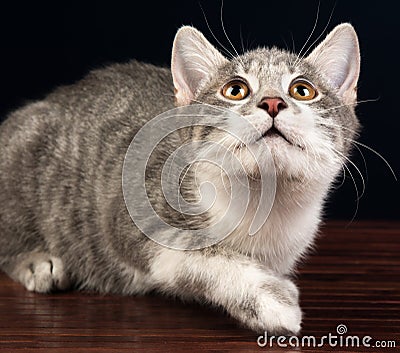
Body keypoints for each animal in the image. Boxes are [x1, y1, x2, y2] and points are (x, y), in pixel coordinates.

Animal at [0, 22, 360, 332]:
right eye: (235, 90)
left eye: (302, 90)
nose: (272, 102)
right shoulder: (127, 213)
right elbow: (199, 253)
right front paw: (268, 298)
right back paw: (37, 263)